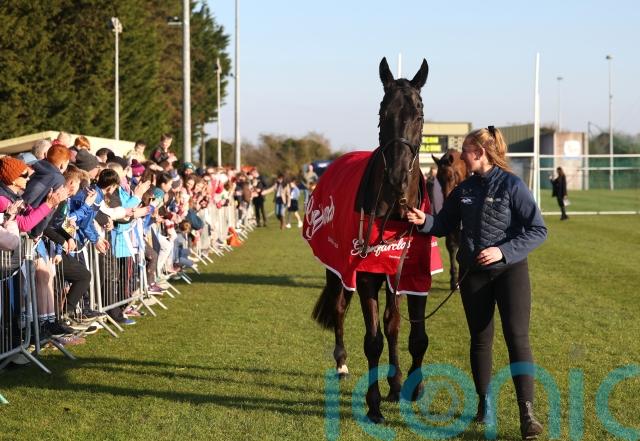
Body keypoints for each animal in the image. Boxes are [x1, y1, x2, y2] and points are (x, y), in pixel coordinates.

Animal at [310, 57, 429, 424]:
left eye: (419, 113)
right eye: (382, 112)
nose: (398, 176)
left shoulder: (402, 271)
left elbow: (399, 329)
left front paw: (402, 385)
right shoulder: (364, 274)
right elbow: (374, 339)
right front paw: (374, 403)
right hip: (336, 267)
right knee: (338, 307)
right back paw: (341, 362)